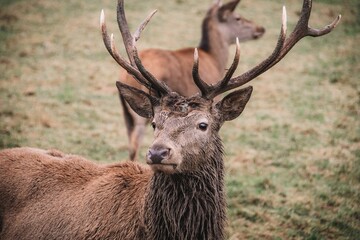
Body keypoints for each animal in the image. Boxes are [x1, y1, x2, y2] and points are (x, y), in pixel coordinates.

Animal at [119, 0, 266, 161]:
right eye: (238, 17)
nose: (261, 28)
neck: (215, 61)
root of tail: (124, 76)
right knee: (135, 143)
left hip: (126, 112)